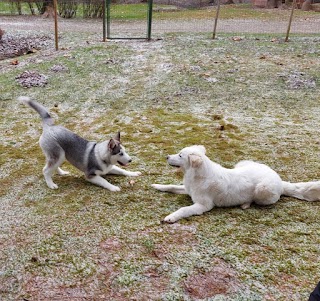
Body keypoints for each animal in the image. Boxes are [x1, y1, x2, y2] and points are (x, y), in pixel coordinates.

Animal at [152, 144, 320, 221]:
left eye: (180, 155)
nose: (167, 156)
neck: (197, 175)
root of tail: (279, 179)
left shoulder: (203, 205)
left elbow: (183, 209)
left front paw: (171, 217)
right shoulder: (187, 189)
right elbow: (171, 186)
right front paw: (157, 186)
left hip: (262, 189)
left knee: (256, 200)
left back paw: (245, 204)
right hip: (242, 163)